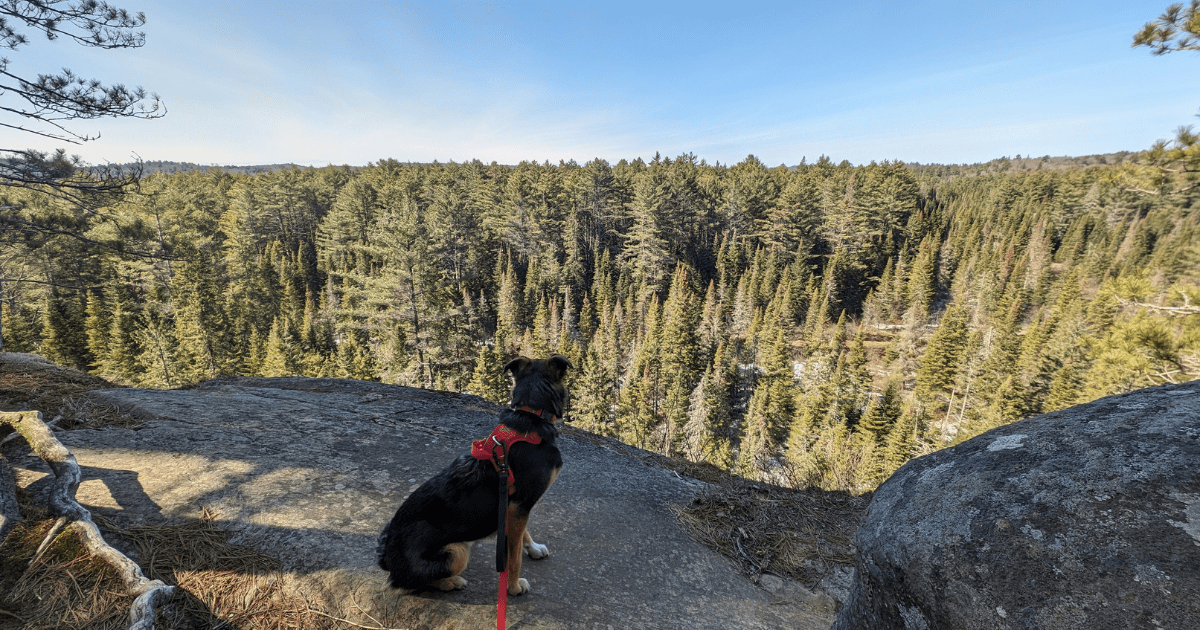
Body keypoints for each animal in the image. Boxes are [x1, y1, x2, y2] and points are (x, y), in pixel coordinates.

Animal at [376, 352, 568, 595]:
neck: (531, 415)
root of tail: (388, 559)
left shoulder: (513, 505)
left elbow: (523, 534)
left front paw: (533, 548)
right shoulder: (520, 506)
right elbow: (514, 557)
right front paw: (513, 587)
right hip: (457, 551)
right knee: (408, 583)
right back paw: (451, 582)